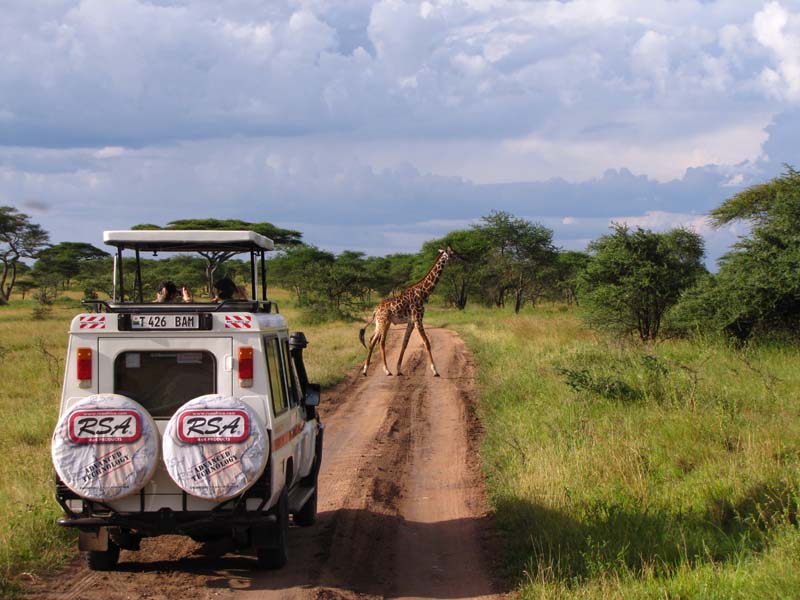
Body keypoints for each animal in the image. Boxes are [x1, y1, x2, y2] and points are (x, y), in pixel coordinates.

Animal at [359, 246, 458, 377]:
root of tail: (375, 310)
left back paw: (365, 370)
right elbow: (427, 342)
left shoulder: (411, 322)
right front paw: (435, 370)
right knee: (381, 341)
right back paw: (386, 370)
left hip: (381, 323)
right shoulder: (418, 319)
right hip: (383, 322)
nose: (460, 258)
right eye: (452, 253)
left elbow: (405, 343)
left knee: (372, 340)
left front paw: (399, 369)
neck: (423, 293)